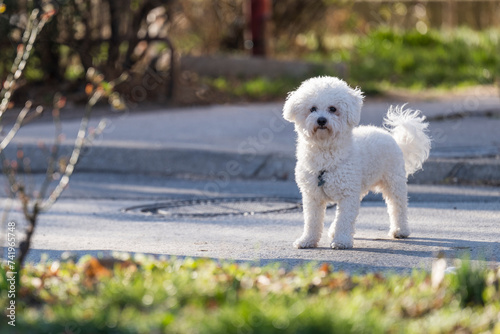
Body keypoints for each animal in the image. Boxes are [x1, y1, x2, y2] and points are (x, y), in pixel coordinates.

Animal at [284, 75, 432, 248]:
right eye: (312, 109)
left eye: (332, 109)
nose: (321, 120)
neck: (325, 154)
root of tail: (393, 138)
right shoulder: (312, 196)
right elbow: (312, 221)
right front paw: (307, 240)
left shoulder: (348, 194)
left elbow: (345, 218)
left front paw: (341, 241)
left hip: (394, 182)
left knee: (398, 206)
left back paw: (400, 230)